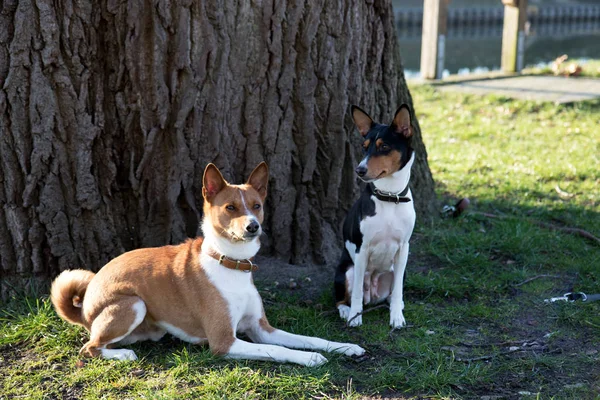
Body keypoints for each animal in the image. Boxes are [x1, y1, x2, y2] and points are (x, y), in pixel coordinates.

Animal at [51, 162, 364, 366]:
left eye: (257, 205)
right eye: (231, 208)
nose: (253, 226)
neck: (232, 265)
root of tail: (84, 307)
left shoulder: (262, 328)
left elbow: (307, 337)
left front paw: (345, 346)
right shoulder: (224, 342)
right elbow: (277, 351)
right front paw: (310, 358)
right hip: (133, 304)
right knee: (89, 348)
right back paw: (123, 356)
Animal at [332, 104, 418, 326]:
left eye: (384, 147)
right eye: (364, 147)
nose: (359, 170)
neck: (390, 197)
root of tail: (372, 293)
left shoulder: (404, 248)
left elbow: (398, 291)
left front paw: (396, 317)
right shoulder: (361, 250)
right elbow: (355, 295)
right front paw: (355, 317)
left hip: (396, 270)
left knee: (393, 292)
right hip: (347, 271)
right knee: (342, 298)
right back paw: (346, 311)